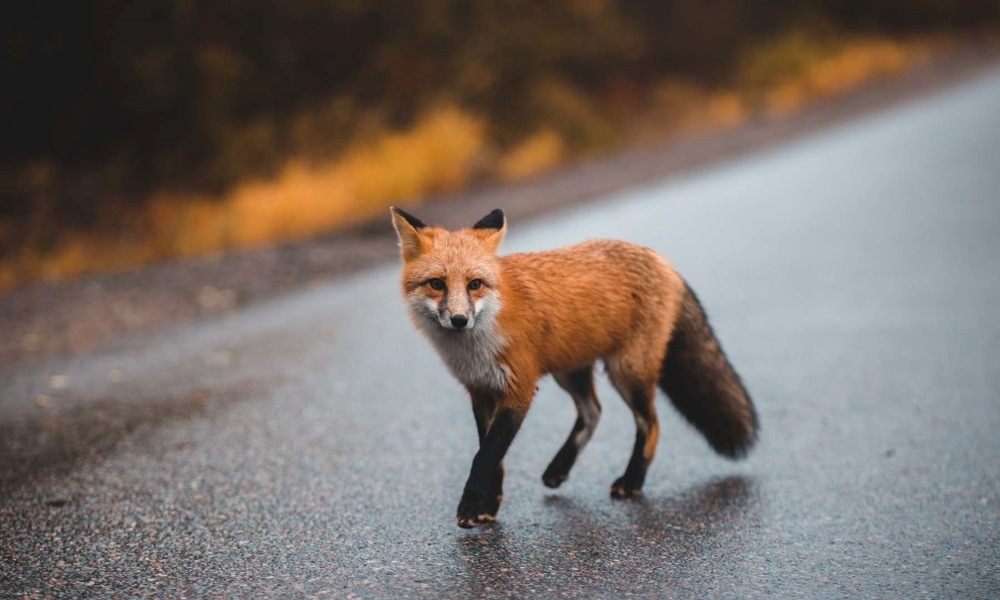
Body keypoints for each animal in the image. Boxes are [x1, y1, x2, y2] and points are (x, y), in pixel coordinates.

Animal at [390, 206, 758, 528]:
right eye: (437, 283)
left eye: (474, 284)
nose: (459, 320)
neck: (478, 343)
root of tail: (660, 259)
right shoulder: (481, 391)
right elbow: (493, 456)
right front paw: (489, 505)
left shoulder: (519, 389)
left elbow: (485, 456)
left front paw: (470, 506)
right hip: (570, 372)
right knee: (593, 412)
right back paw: (560, 468)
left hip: (626, 372)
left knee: (650, 424)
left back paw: (632, 481)